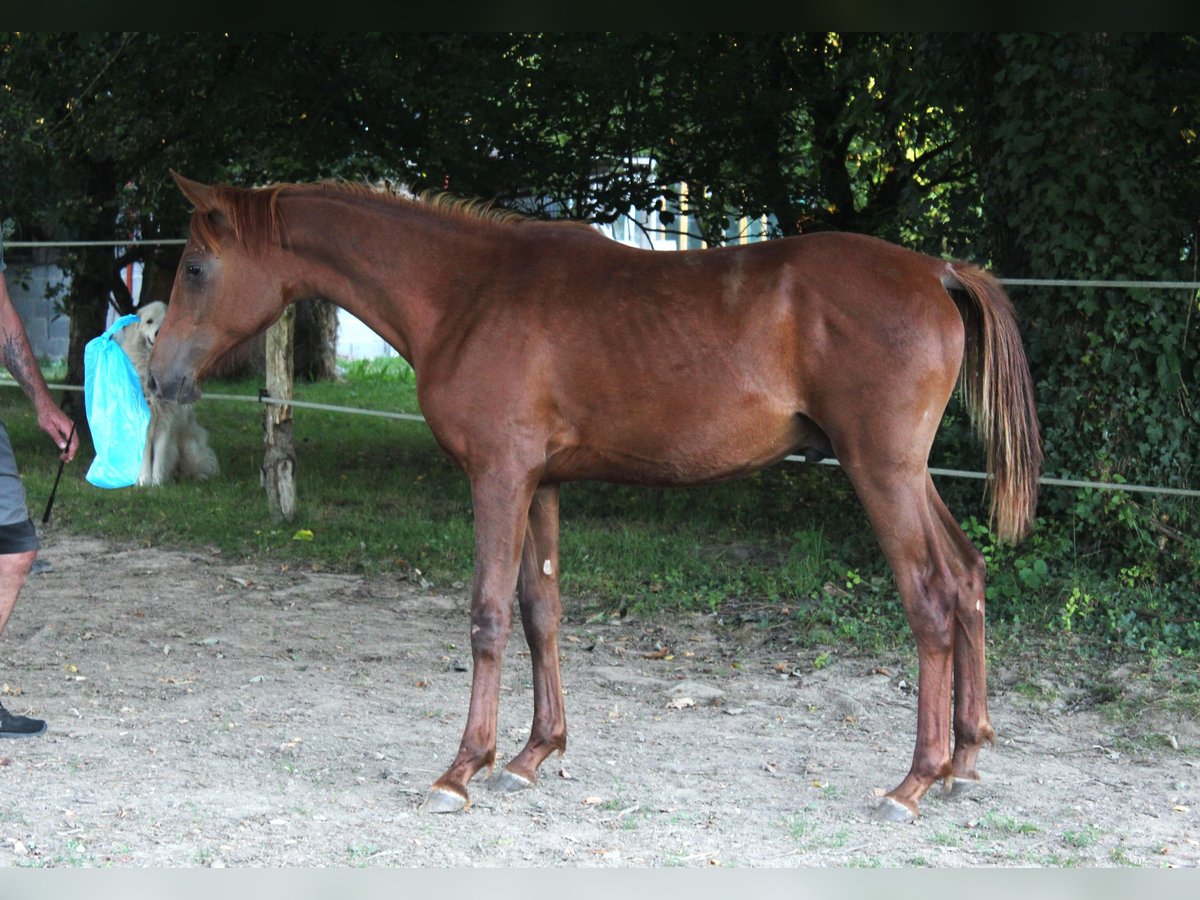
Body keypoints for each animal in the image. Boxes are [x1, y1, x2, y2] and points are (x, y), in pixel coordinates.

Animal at [149, 172, 1041, 823]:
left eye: (194, 267)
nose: (158, 378)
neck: (468, 292)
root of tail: (937, 271)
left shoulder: (499, 476)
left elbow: (487, 616)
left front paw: (459, 769)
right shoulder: (539, 484)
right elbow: (541, 612)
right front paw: (531, 756)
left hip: (880, 471)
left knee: (931, 599)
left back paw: (913, 781)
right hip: (907, 476)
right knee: (967, 578)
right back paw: (965, 761)